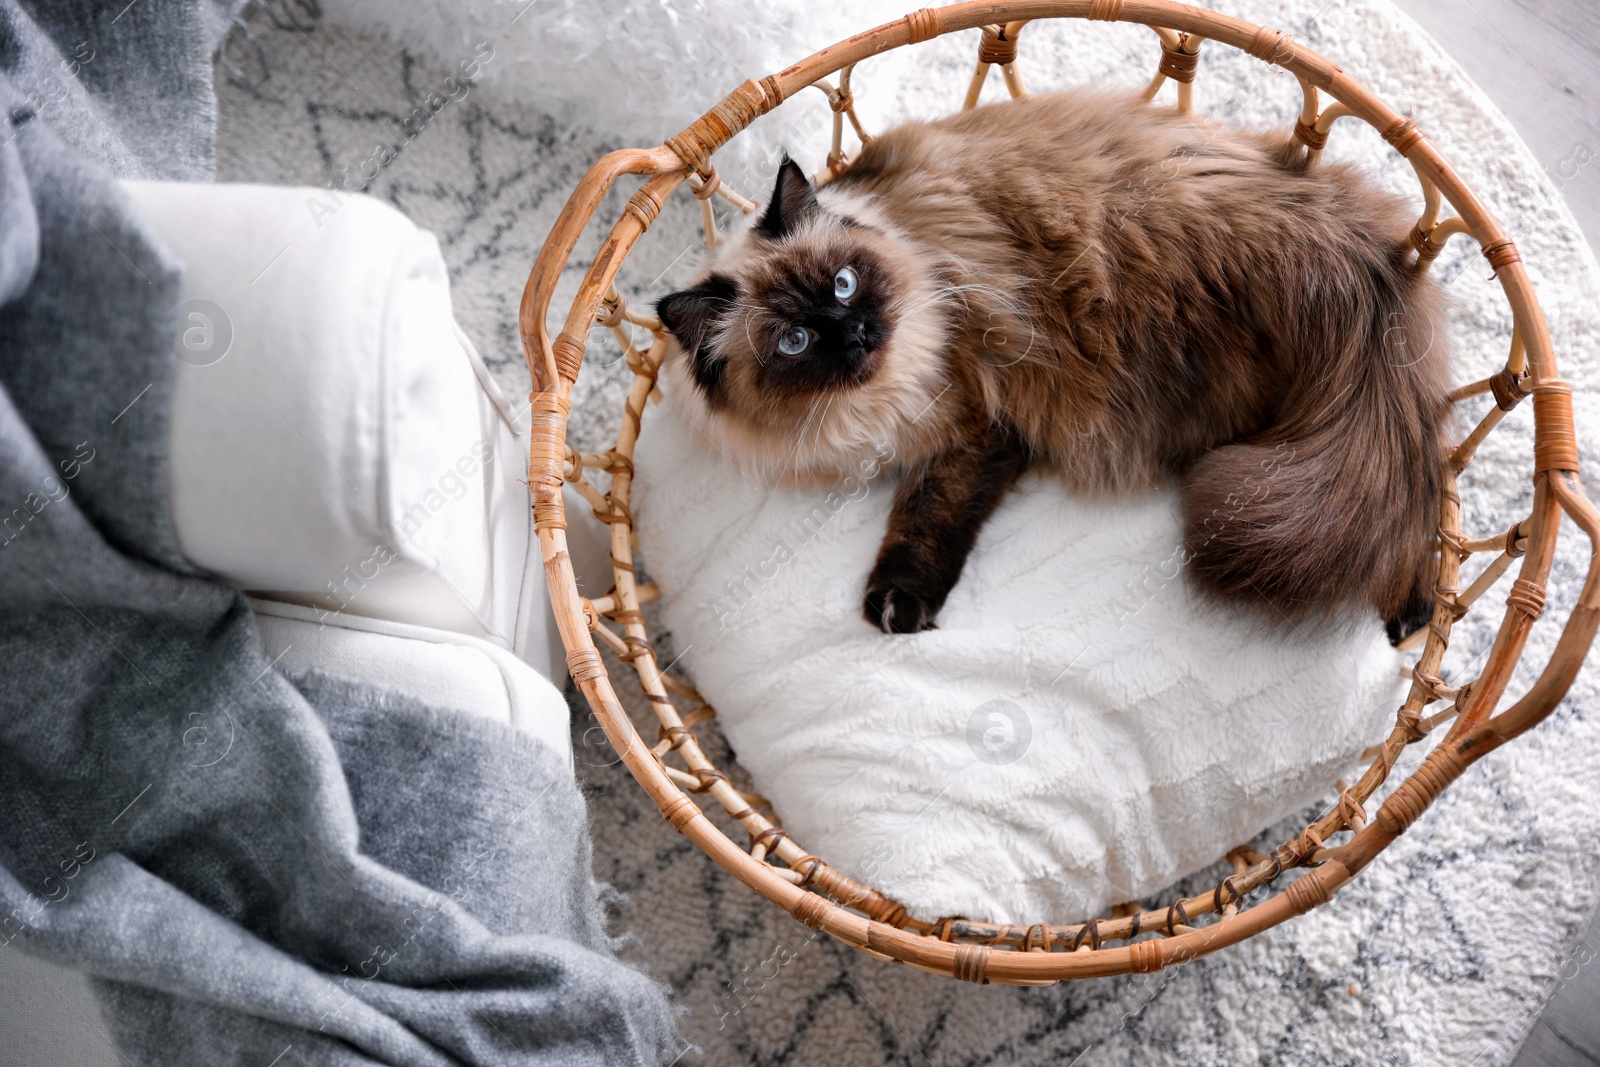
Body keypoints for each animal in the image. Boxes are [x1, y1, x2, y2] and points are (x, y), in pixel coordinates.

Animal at [649, 89, 1452, 643]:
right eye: (794, 341)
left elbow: (924, 516)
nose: (855, 333)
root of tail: (1313, 225)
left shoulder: (973, 430)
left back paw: (1410, 617)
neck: (866, 408)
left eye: (844, 284)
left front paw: (898, 606)